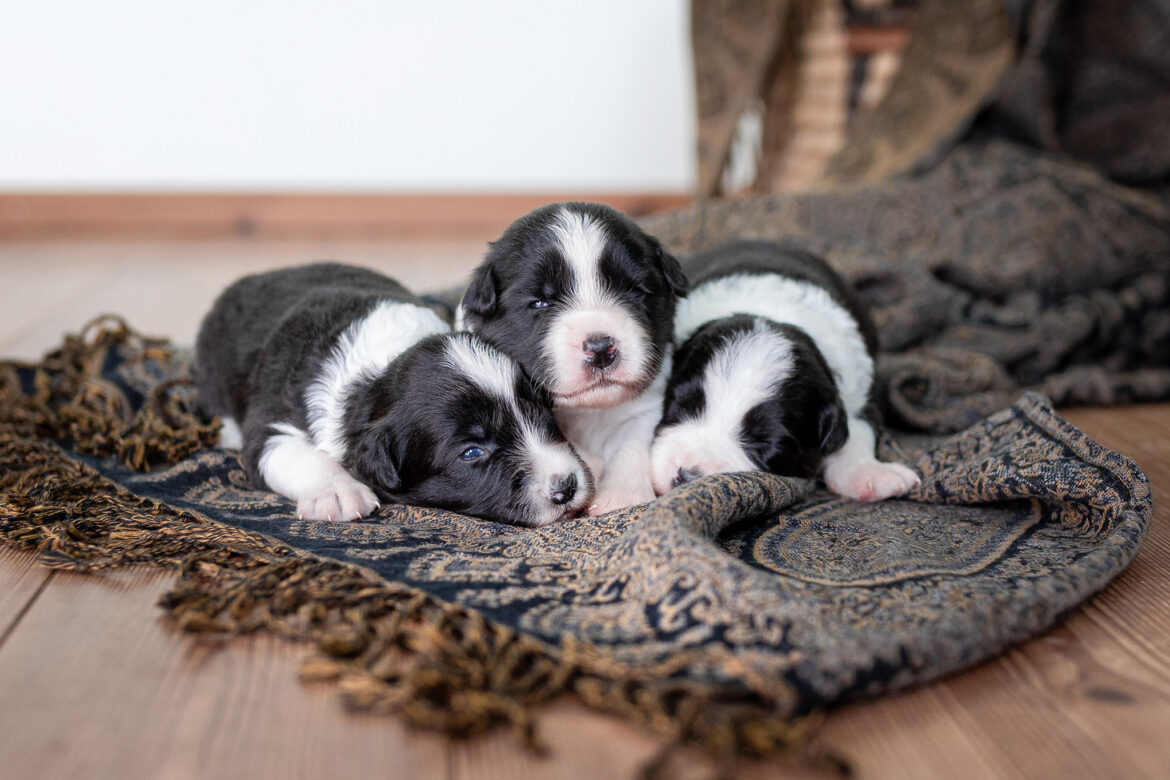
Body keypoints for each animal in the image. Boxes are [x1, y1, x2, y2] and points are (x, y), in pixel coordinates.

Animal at [197, 264, 594, 530]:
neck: (379, 373)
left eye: (541, 412)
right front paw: (337, 492)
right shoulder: (272, 417)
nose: (565, 487)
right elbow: (288, 451)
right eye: (472, 452)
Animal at [456, 204, 687, 514]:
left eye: (635, 290)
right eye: (540, 302)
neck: (588, 410)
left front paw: (622, 496)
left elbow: (632, 442)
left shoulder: (646, 404)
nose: (601, 348)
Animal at [650, 240, 921, 502]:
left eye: (766, 442)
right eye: (682, 405)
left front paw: (871, 474)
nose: (687, 477)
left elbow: (858, 429)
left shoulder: (860, 387)